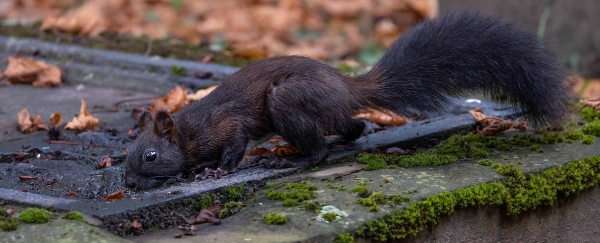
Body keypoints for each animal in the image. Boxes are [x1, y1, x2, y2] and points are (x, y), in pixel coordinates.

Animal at [125, 11, 572, 190]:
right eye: (128, 153)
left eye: (149, 156)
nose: (128, 183)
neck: (188, 130)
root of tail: (346, 88)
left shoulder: (227, 122)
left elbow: (234, 145)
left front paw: (215, 170)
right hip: (325, 111)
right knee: (355, 126)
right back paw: (337, 140)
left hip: (287, 100)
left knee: (318, 150)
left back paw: (288, 159)